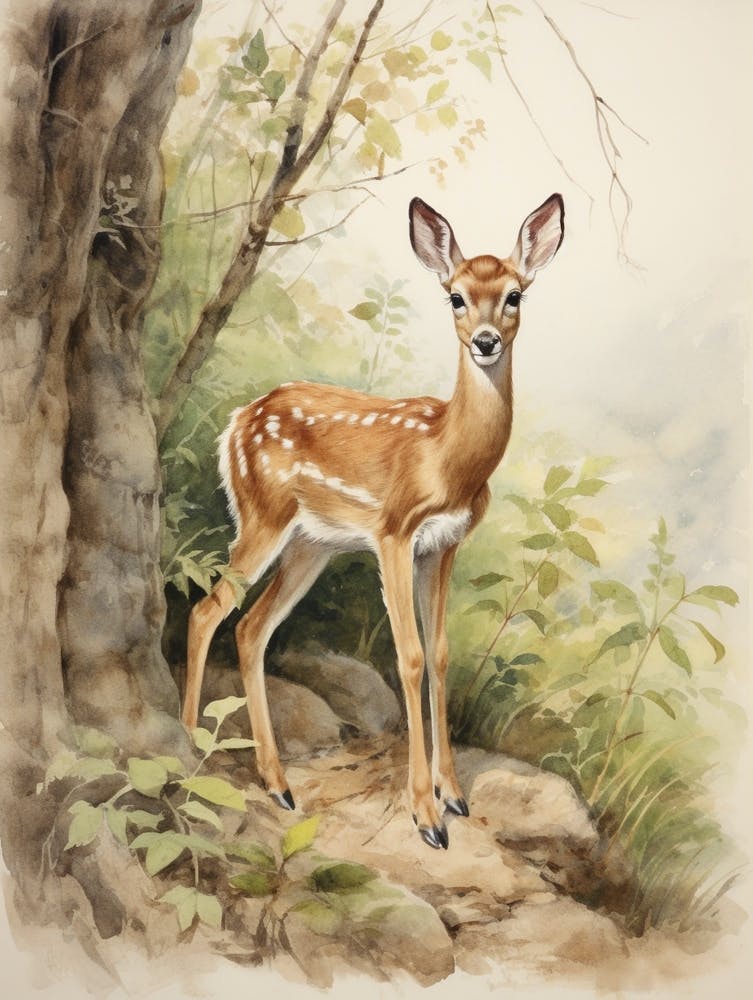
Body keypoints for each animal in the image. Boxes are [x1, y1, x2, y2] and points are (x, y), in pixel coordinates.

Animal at [182, 194, 564, 849]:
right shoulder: (394, 531)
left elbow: (440, 654)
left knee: (251, 626)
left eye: (515, 295)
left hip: (311, 544)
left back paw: (278, 783)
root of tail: (234, 424)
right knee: (208, 610)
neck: (447, 459)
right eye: (456, 297)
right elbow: (408, 657)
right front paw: (426, 816)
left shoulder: (445, 545)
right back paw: (185, 744)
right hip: (263, 514)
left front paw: (454, 795)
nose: (486, 341)